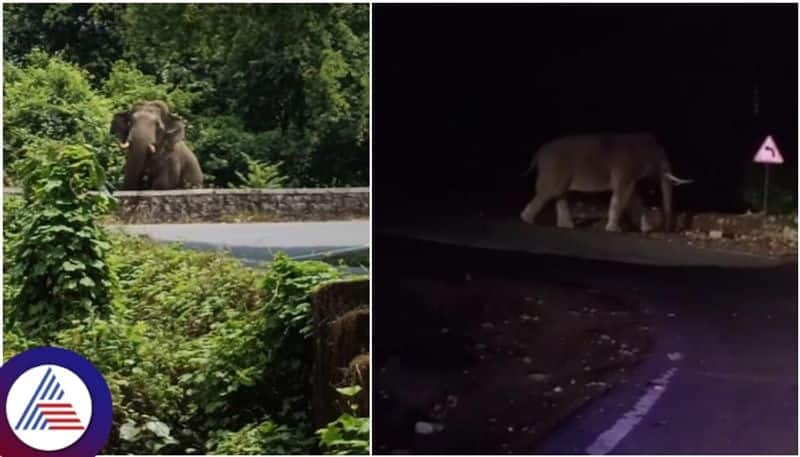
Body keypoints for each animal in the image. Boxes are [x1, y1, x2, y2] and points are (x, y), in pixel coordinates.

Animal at [520, 132, 692, 232]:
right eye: (659, 157)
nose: (667, 231)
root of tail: (537, 153)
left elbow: (633, 197)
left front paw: (646, 229)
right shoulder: (625, 167)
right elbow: (624, 193)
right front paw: (614, 230)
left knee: (559, 194)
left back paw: (566, 226)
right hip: (554, 168)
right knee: (548, 192)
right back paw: (526, 220)